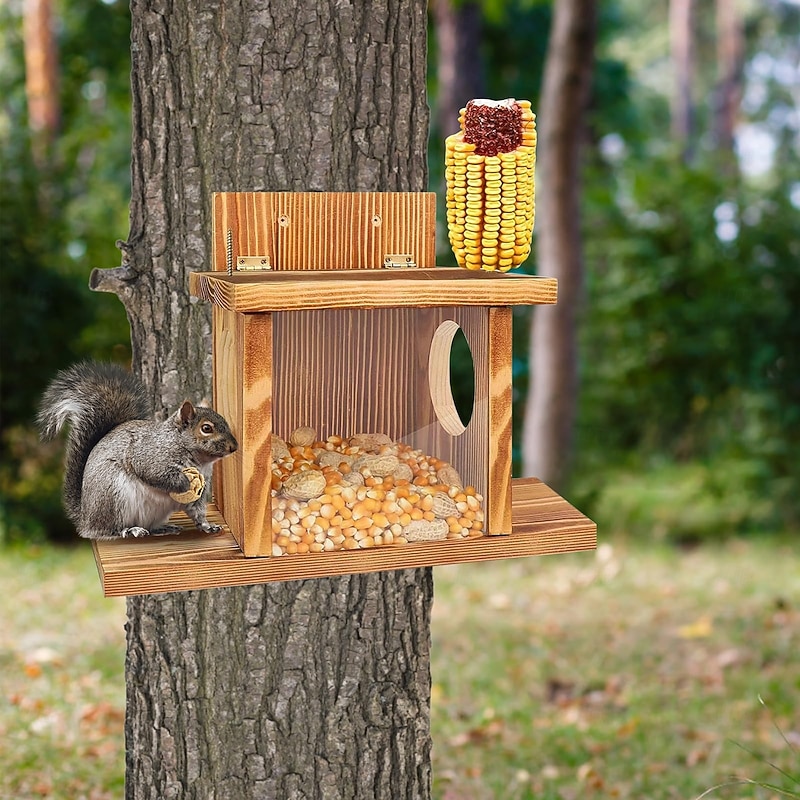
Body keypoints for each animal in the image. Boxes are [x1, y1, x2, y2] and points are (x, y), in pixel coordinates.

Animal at [37, 361, 238, 540]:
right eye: (206, 428)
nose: (234, 447)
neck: (199, 460)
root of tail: (85, 519)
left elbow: (197, 510)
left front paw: (207, 526)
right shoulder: (150, 455)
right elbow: (155, 473)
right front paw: (184, 482)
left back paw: (162, 528)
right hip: (114, 497)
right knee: (106, 530)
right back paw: (129, 530)